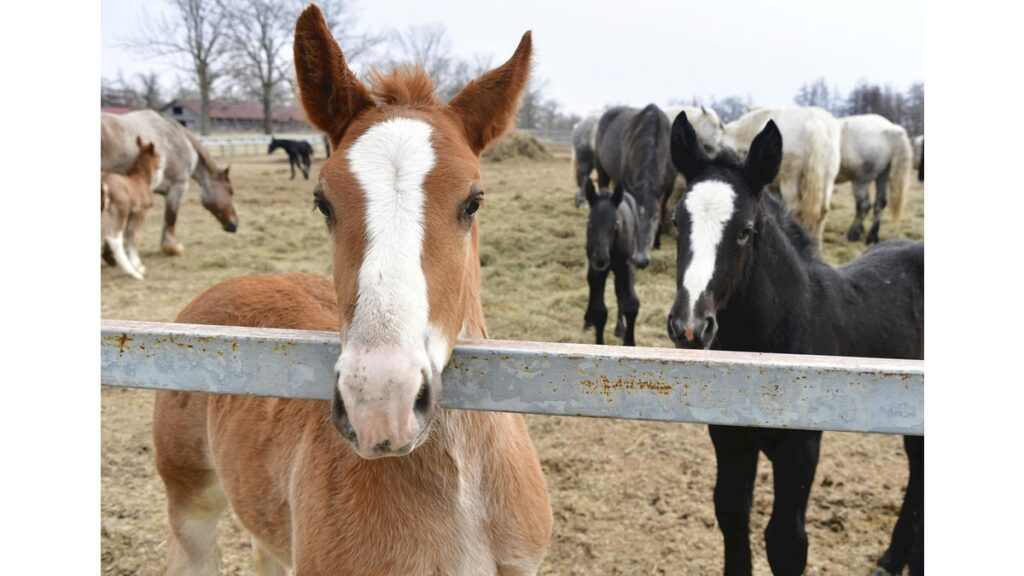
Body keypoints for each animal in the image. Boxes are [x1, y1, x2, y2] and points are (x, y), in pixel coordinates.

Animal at [100, 137, 161, 279]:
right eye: (158, 155)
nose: (162, 164)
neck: (140, 179)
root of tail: (104, 179)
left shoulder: (132, 213)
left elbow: (129, 234)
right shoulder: (141, 212)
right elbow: (134, 235)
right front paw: (138, 266)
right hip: (120, 211)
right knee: (114, 237)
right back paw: (133, 273)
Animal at [582, 180, 641, 346]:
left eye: (616, 224)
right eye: (590, 223)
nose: (601, 259)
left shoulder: (624, 266)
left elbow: (631, 304)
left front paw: (629, 342)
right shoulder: (597, 269)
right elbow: (599, 311)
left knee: (618, 290)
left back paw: (619, 329)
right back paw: (588, 321)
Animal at [594, 104, 676, 267]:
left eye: (655, 217)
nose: (641, 260)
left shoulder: (668, 189)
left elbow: (664, 209)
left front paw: (658, 242)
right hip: (601, 169)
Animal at [836, 114, 913, 244]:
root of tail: (891, 129)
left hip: (860, 181)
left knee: (864, 205)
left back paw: (853, 234)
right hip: (883, 177)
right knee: (879, 203)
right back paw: (872, 236)